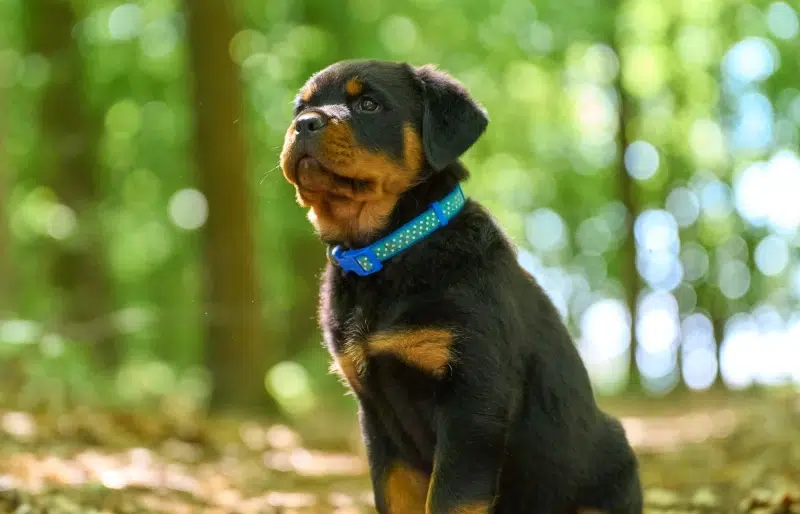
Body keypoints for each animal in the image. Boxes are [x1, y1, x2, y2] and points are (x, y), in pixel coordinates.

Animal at [282, 60, 644, 512]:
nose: (305, 124)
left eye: (368, 104)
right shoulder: (378, 417)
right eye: (300, 108)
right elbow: (395, 498)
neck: (387, 253)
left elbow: (451, 498)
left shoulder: (472, 400)